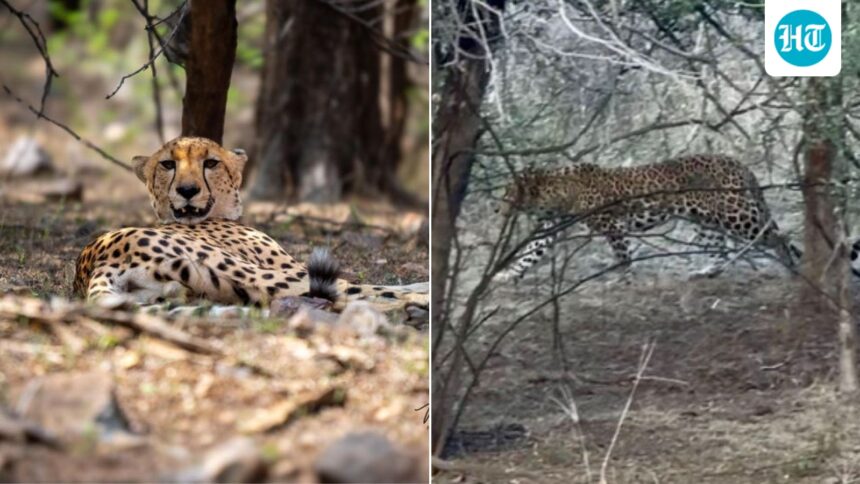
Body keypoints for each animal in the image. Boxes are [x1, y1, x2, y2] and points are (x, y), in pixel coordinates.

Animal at [74, 136, 428, 315]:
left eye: (211, 163)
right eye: (168, 164)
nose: (187, 190)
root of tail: (94, 260)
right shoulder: (292, 267)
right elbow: (375, 284)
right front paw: (419, 288)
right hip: (261, 274)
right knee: (354, 292)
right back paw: (418, 302)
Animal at [494, 154, 799, 281]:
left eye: (508, 193)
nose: (497, 209)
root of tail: (739, 164)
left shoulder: (611, 224)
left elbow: (622, 254)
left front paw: (624, 277)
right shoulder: (551, 225)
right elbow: (532, 251)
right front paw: (508, 273)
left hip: (735, 213)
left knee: (774, 236)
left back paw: (791, 268)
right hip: (706, 219)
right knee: (719, 249)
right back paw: (706, 272)